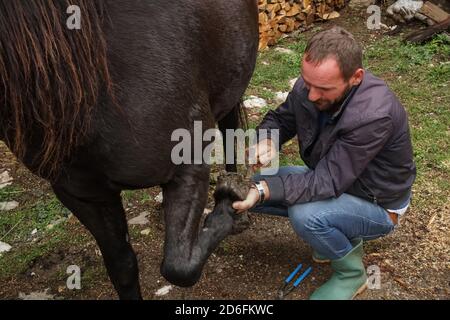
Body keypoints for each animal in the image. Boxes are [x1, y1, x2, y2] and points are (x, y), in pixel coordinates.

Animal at [0, 0, 258, 300]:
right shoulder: (83, 194)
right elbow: (122, 268)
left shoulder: (189, 165)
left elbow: (179, 267)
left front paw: (232, 207)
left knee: (230, 131)